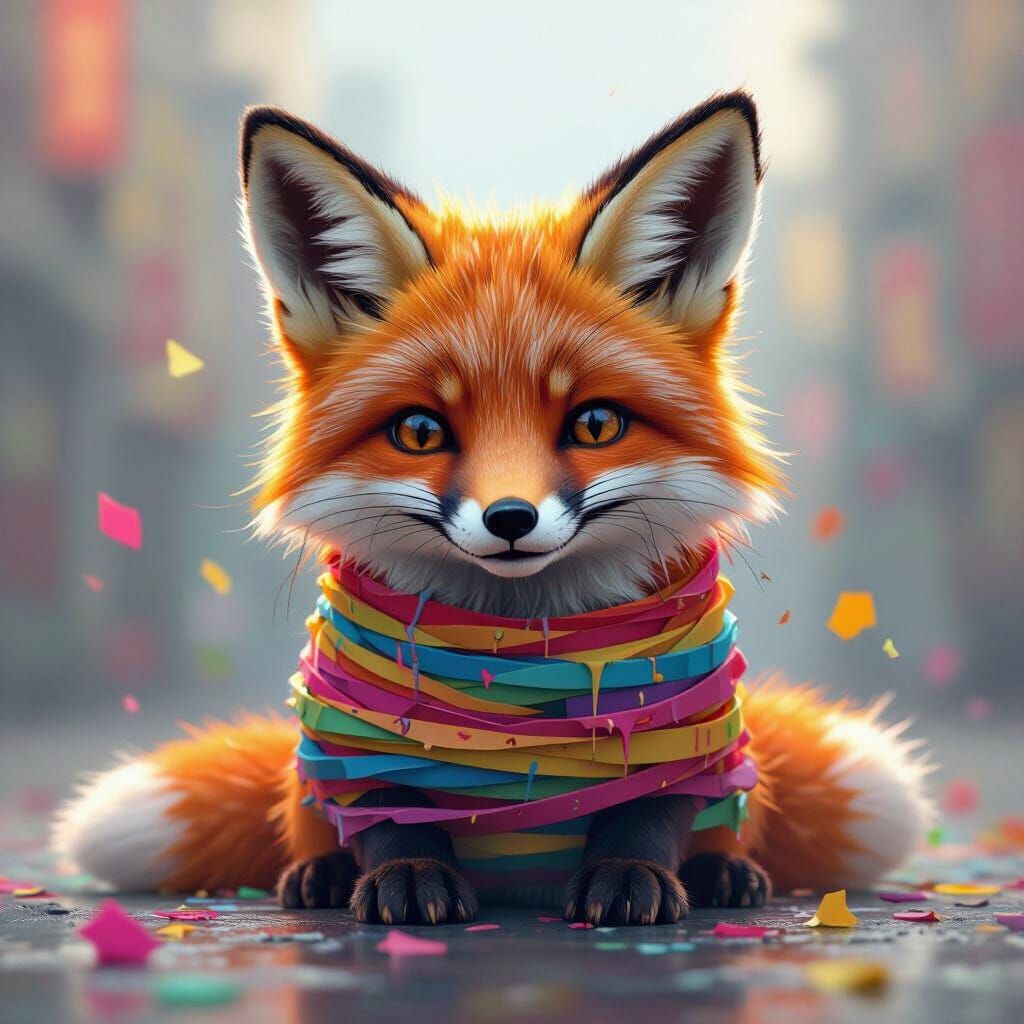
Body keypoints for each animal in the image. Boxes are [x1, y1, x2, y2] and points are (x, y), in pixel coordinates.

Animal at [53, 91, 931, 926]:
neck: (517, 638)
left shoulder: (689, 721)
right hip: (303, 783)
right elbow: (386, 808)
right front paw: (408, 876)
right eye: (419, 431)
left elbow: (648, 811)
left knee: (729, 829)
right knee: (308, 822)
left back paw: (723, 874)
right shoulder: (353, 723)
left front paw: (630, 876)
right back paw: (322, 873)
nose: (511, 519)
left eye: (595, 424)